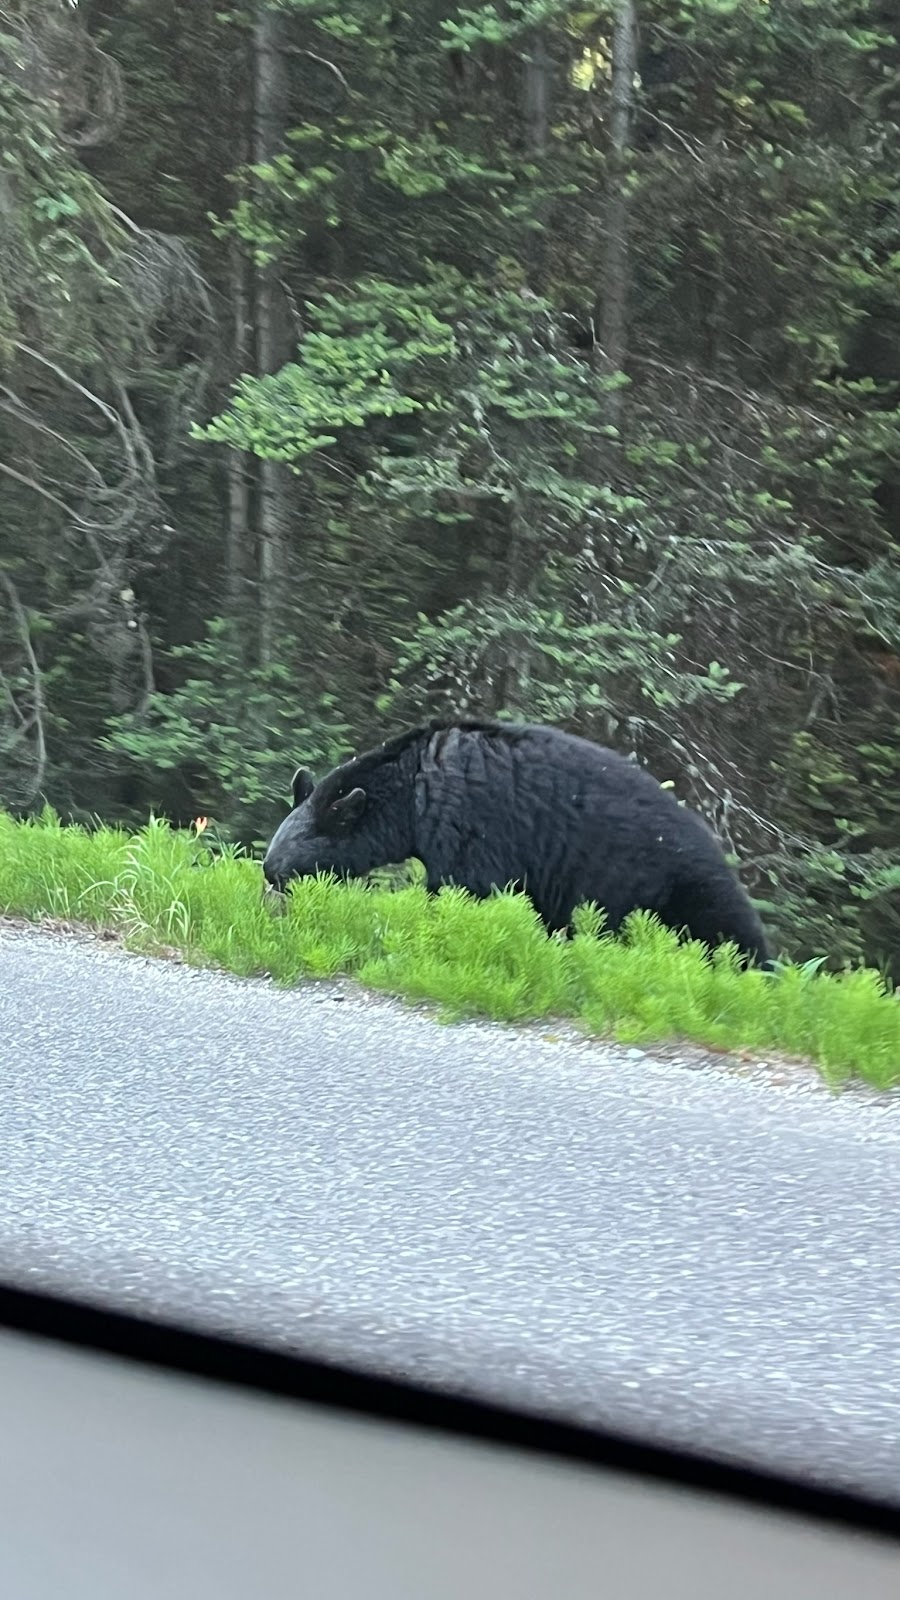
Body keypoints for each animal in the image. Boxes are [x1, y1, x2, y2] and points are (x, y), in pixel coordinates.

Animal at [263, 720, 771, 966]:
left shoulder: (467, 825)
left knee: (729, 937)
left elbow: (461, 889)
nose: (268, 883)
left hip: (684, 890)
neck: (412, 792)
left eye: (285, 868)